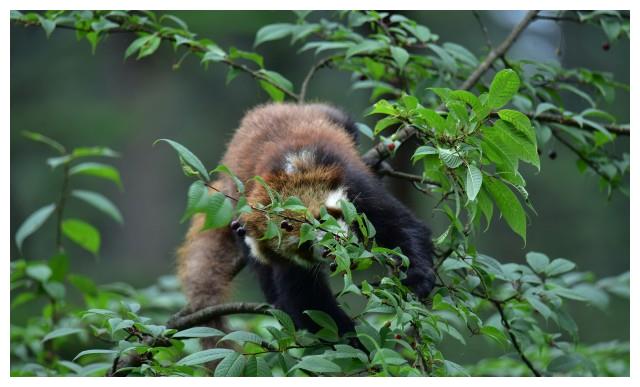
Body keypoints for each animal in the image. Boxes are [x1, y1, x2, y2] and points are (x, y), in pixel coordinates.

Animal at [176, 102, 436, 342]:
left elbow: (402, 226)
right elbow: (305, 299)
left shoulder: (355, 184)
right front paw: (350, 340)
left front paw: (418, 276)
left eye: (321, 221)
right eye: (304, 246)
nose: (330, 251)